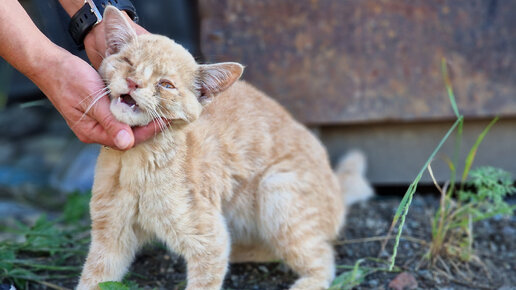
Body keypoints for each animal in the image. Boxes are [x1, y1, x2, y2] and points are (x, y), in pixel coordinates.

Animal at [77, 6, 370, 290]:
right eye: (128, 63)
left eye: (166, 85)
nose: (134, 83)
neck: (135, 164)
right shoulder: (110, 235)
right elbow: (92, 279)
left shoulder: (210, 239)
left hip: (276, 189)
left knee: (322, 258)